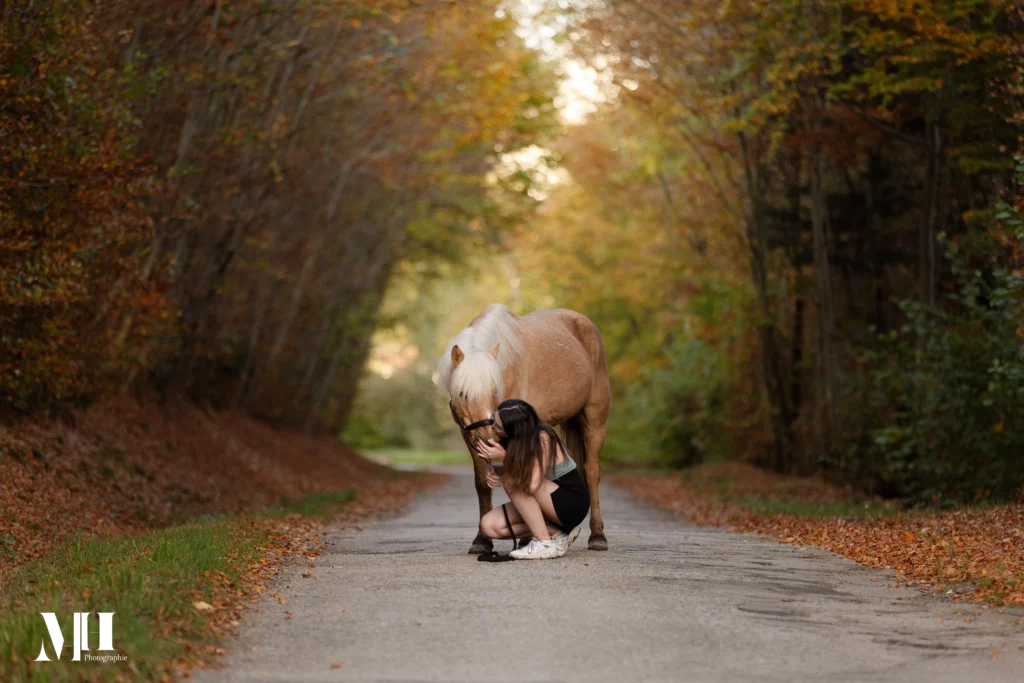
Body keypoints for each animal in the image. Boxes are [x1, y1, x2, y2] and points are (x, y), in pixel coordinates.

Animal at [438, 303, 610, 553]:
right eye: (462, 393)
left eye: (494, 389)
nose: (487, 438)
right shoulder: (468, 435)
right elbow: (482, 485)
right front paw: (482, 540)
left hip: (594, 421)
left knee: (592, 472)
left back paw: (597, 536)